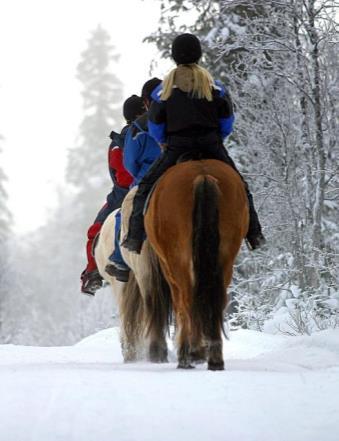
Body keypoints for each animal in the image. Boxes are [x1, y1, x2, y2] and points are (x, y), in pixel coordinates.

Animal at [144, 158, 250, 368]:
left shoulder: (168, 268)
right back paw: (214, 357)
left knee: (187, 300)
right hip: (225, 257)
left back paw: (188, 354)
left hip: (178, 261)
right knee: (216, 299)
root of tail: (203, 175)